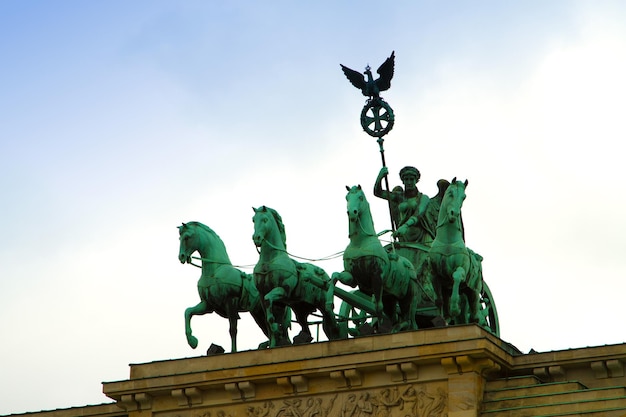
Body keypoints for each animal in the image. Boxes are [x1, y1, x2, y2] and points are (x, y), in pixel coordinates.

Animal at [178, 221, 270, 352]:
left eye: (187, 237)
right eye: (179, 238)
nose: (181, 256)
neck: (214, 271)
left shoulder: (230, 301)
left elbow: (233, 329)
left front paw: (233, 351)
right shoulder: (207, 305)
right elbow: (188, 312)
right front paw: (192, 341)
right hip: (258, 313)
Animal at [251, 204, 344, 344]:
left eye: (265, 220)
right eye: (253, 220)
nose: (256, 238)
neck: (270, 260)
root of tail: (326, 277)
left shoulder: (283, 290)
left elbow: (269, 302)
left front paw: (276, 329)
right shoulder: (262, 295)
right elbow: (267, 319)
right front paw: (273, 342)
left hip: (324, 306)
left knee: (334, 327)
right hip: (301, 310)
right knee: (307, 329)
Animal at [334, 185, 416, 332]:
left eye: (360, 197)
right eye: (347, 197)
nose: (352, 213)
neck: (360, 242)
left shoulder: (377, 276)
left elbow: (378, 307)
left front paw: (378, 322)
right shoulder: (352, 277)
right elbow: (335, 276)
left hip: (407, 295)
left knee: (406, 318)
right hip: (390, 297)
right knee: (396, 317)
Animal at [426, 179, 486, 324]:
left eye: (464, 197)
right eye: (450, 193)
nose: (454, 213)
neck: (448, 242)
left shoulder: (460, 271)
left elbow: (457, 277)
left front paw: (454, 308)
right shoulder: (434, 275)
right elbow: (438, 300)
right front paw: (443, 317)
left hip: (473, 289)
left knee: (474, 310)